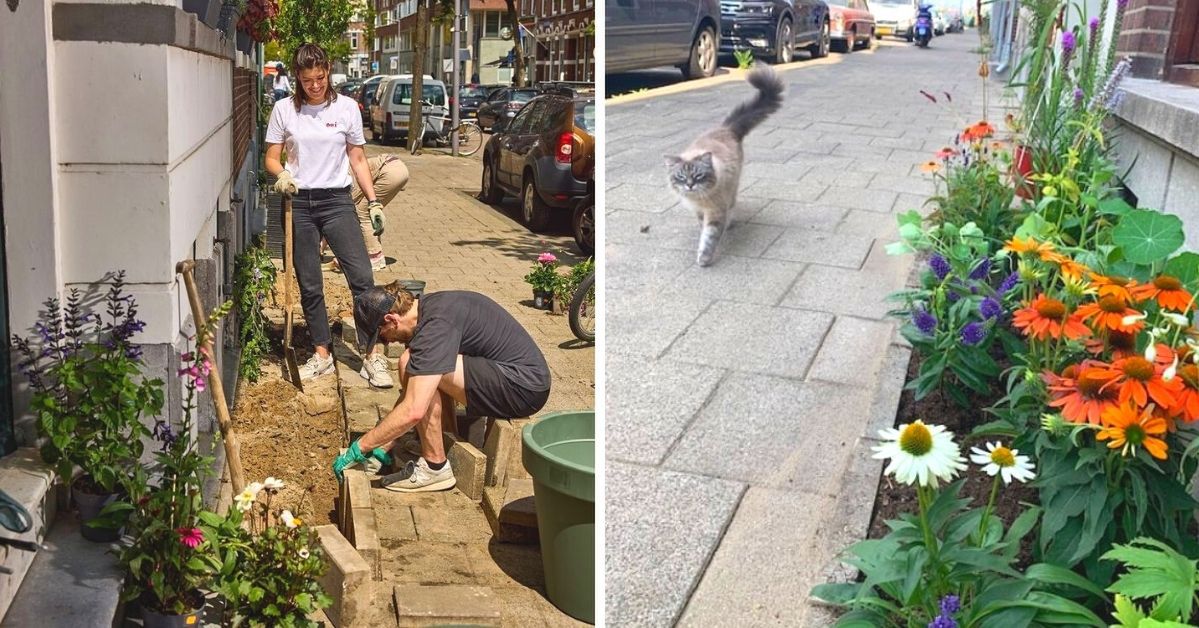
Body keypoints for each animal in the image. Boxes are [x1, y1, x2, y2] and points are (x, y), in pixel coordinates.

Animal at [661, 65, 781, 264]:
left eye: (698, 176)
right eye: (681, 177)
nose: (689, 185)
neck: (698, 199)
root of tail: (726, 128)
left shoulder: (715, 212)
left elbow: (709, 237)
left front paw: (704, 259)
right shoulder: (699, 211)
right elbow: (702, 227)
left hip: (733, 188)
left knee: (731, 206)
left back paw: (730, 224)